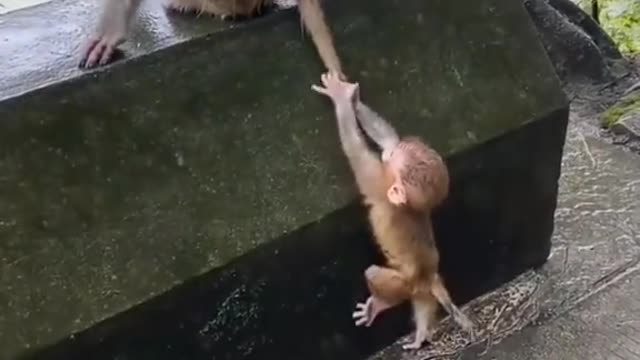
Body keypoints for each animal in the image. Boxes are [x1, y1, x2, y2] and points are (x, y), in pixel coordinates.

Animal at [312, 71, 472, 350]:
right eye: (396, 155)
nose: (391, 156)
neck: (403, 203)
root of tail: (426, 277)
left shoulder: (377, 182)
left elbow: (355, 151)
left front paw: (341, 99)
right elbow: (388, 138)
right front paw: (353, 97)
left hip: (401, 283)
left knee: (375, 274)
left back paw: (380, 303)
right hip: (419, 284)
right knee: (423, 299)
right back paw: (421, 330)